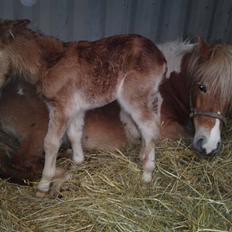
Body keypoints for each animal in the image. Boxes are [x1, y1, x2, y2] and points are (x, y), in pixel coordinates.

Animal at [0, 19, 167, 196]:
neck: (49, 63)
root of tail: (160, 58)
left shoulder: (61, 108)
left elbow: (51, 143)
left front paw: (44, 185)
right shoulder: (75, 108)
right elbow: (75, 134)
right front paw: (77, 165)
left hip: (133, 96)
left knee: (149, 127)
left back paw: (147, 174)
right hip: (149, 95)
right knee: (152, 120)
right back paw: (143, 156)